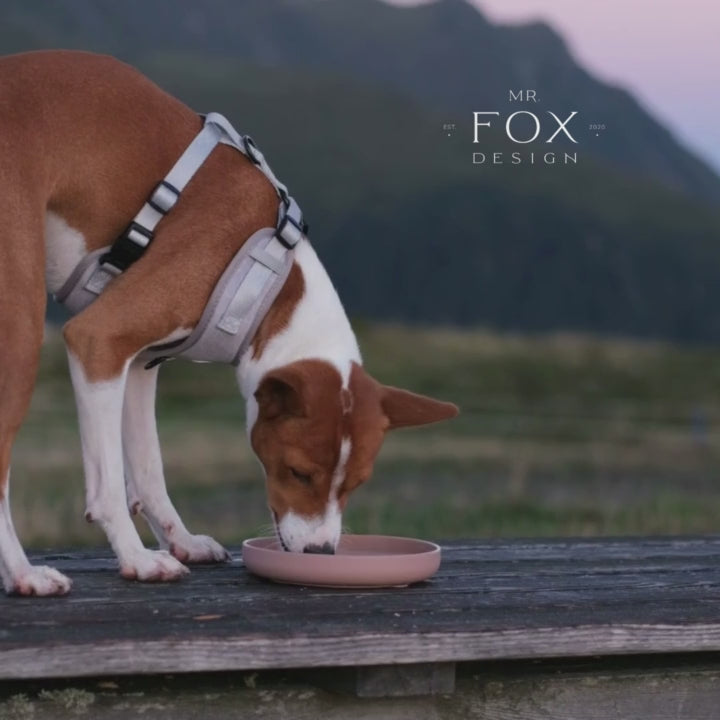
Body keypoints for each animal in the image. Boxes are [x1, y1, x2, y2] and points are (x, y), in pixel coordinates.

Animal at [0, 50, 458, 596]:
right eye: (299, 473)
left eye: (355, 484)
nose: (321, 553)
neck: (268, 282)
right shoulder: (98, 340)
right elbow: (109, 485)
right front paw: (138, 558)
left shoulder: (138, 362)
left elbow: (148, 468)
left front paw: (181, 540)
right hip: (20, 334)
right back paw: (23, 573)